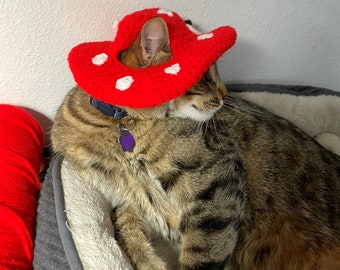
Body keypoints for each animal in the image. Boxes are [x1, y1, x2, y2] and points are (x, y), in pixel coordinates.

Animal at [50, 15, 340, 268]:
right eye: (205, 77)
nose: (226, 94)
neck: (119, 124)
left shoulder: (214, 176)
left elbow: (204, 248)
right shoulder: (127, 201)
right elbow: (128, 234)